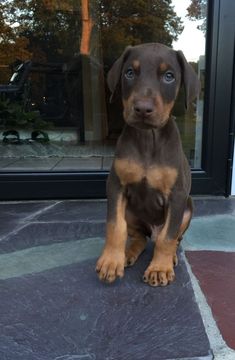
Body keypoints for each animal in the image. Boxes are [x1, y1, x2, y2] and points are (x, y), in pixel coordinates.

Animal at [96, 42, 199, 286]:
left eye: (169, 76)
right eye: (129, 73)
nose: (142, 109)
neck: (147, 139)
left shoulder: (177, 195)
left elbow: (168, 237)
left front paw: (159, 268)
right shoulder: (116, 186)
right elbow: (115, 226)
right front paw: (110, 261)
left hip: (188, 207)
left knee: (171, 238)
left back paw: (170, 259)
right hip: (131, 212)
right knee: (140, 237)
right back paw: (127, 253)